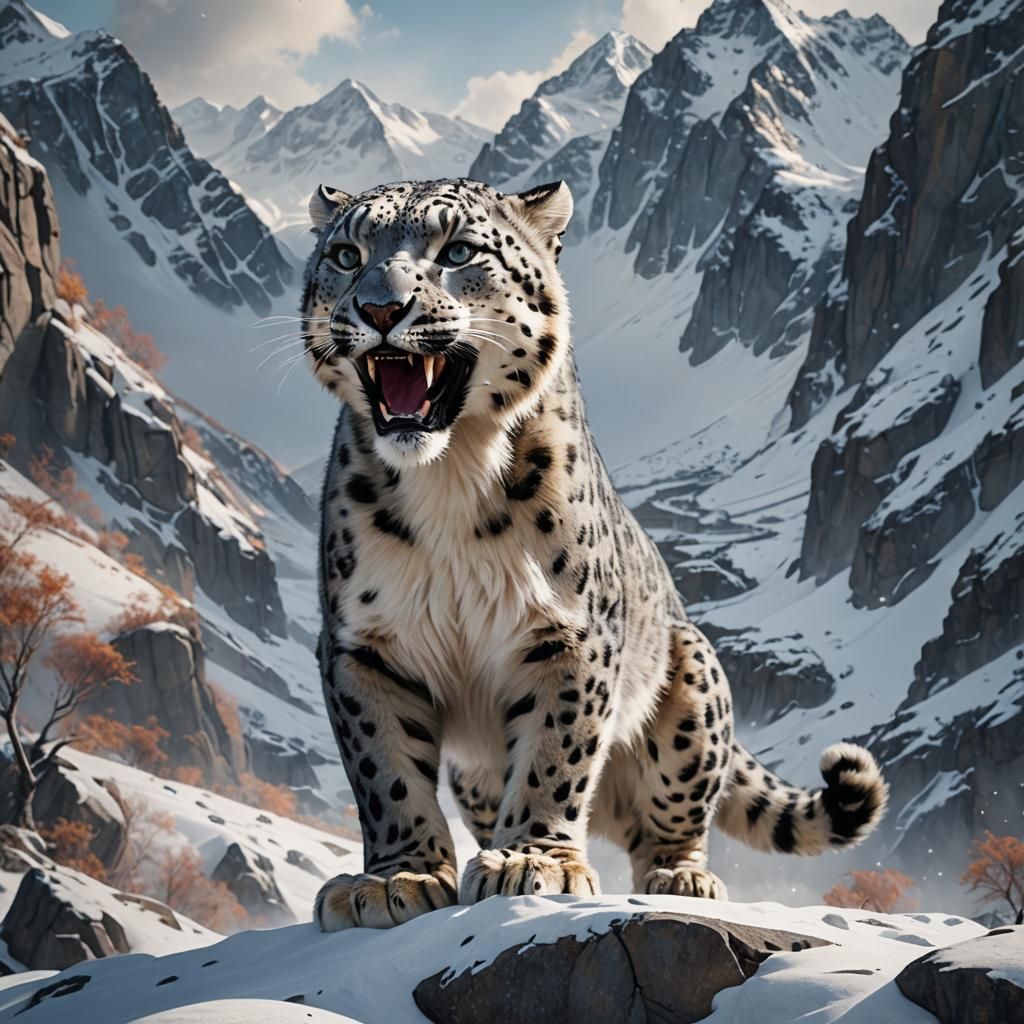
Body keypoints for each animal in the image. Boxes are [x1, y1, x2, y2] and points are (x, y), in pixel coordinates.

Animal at [300, 177, 888, 930]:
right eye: (346, 255)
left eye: (457, 250)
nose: (379, 308)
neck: (449, 476)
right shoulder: (362, 644)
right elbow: (385, 771)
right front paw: (396, 879)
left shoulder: (570, 630)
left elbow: (556, 751)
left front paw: (532, 863)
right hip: (474, 772)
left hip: (693, 680)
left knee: (665, 820)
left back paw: (680, 876)